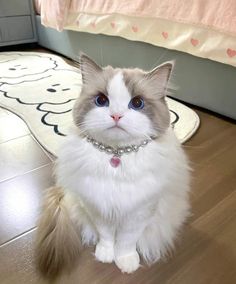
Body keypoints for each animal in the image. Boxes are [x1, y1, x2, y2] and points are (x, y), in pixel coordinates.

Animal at [36, 54, 191, 278]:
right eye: (102, 100)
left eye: (137, 103)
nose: (116, 115)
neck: (117, 157)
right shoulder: (97, 207)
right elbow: (107, 236)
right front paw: (106, 255)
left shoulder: (140, 211)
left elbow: (127, 241)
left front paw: (126, 262)